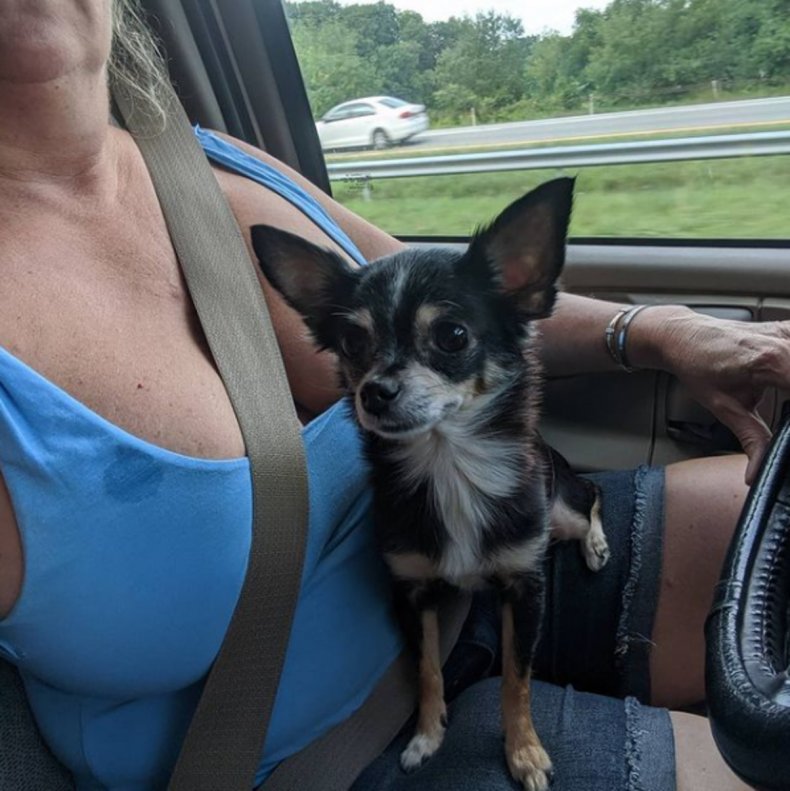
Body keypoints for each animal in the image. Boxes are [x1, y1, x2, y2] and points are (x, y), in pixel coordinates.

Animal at [251, 179, 608, 791]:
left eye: (452, 335)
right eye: (352, 342)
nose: (374, 392)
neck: (449, 465)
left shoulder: (524, 587)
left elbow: (517, 677)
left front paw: (524, 750)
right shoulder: (411, 591)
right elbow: (425, 669)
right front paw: (427, 735)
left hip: (556, 507)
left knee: (589, 499)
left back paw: (597, 544)